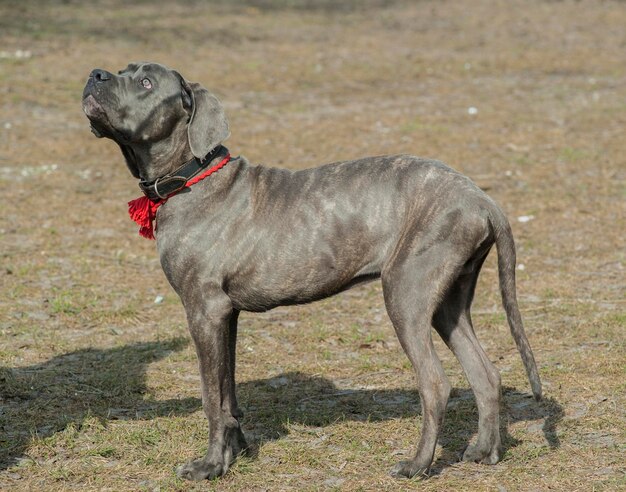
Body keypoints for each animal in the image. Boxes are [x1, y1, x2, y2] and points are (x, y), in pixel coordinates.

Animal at [81, 61, 540, 480]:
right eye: (123, 69)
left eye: (145, 82)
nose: (95, 74)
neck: (191, 177)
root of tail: (482, 199)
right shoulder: (226, 316)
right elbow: (229, 392)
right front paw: (236, 451)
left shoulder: (203, 310)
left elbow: (212, 397)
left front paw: (210, 466)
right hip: (448, 302)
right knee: (485, 374)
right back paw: (483, 452)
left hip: (406, 294)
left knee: (436, 384)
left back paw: (417, 465)